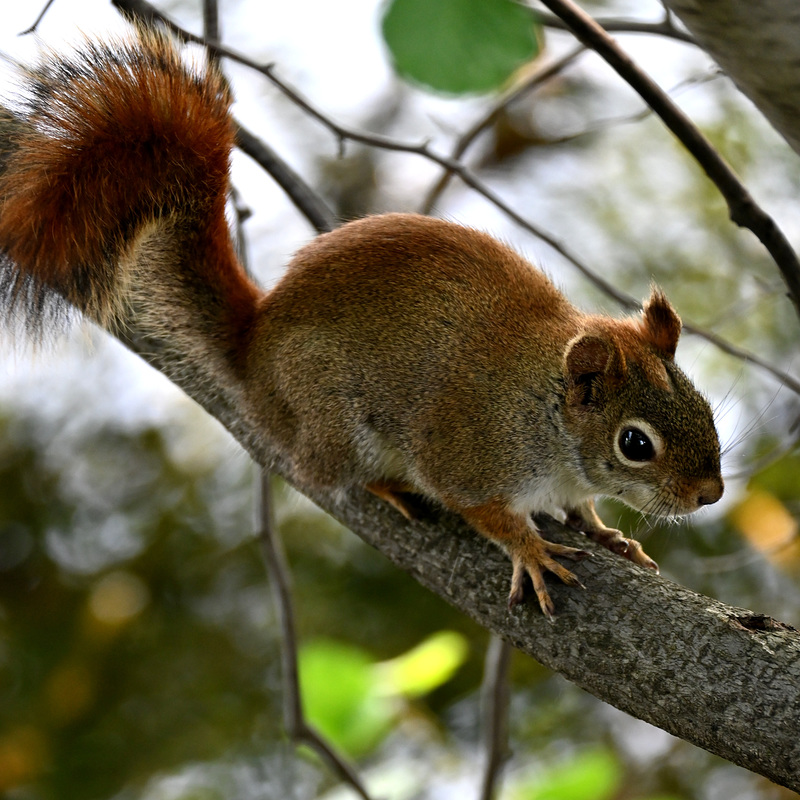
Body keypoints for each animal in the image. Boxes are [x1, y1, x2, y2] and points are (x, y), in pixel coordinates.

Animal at [0, 29, 724, 620]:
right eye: (636, 443)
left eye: (705, 407)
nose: (710, 494)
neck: (546, 413)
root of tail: (253, 349)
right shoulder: (470, 452)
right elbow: (485, 511)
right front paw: (532, 549)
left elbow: (581, 507)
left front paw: (604, 531)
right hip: (335, 417)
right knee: (329, 471)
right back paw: (388, 484)